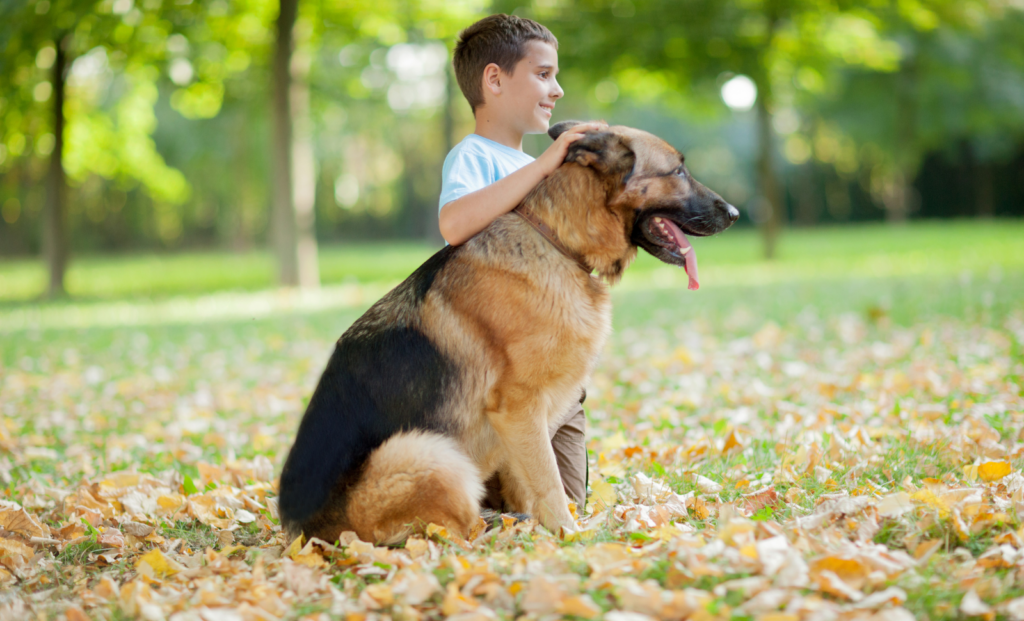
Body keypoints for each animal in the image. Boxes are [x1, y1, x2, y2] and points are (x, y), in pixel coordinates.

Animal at [278, 121, 737, 545]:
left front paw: (542, 530)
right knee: (453, 531)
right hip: (427, 451)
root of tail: (303, 533)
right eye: (678, 170)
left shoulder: (523, 426)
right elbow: (549, 482)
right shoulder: (519, 408)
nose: (734, 213)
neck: (556, 241)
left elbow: (529, 483)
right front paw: (569, 537)